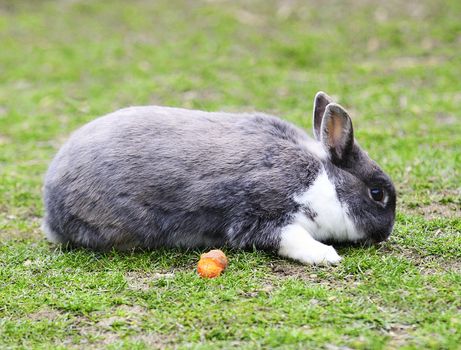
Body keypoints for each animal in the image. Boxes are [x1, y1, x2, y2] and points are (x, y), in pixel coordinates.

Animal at [42, 91, 396, 264]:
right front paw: (327, 256)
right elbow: (290, 237)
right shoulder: (260, 214)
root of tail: (51, 208)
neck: (325, 179)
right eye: (377, 194)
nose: (385, 233)